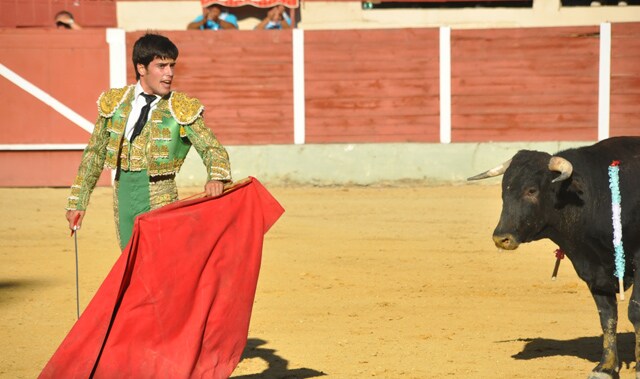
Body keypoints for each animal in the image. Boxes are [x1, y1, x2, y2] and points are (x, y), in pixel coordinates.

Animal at [468, 137, 640, 379]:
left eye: (531, 190)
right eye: (504, 190)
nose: (501, 238)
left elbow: (634, 312)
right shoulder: (594, 269)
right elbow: (607, 315)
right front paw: (605, 368)